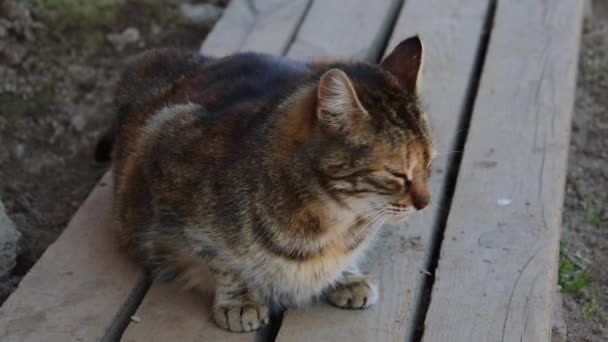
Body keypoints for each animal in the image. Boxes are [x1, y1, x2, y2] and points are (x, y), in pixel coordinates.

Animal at [104, 36, 434, 332]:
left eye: (429, 163)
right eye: (397, 173)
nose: (426, 203)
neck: (332, 222)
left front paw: (346, 275)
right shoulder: (166, 142)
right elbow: (216, 257)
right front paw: (240, 300)